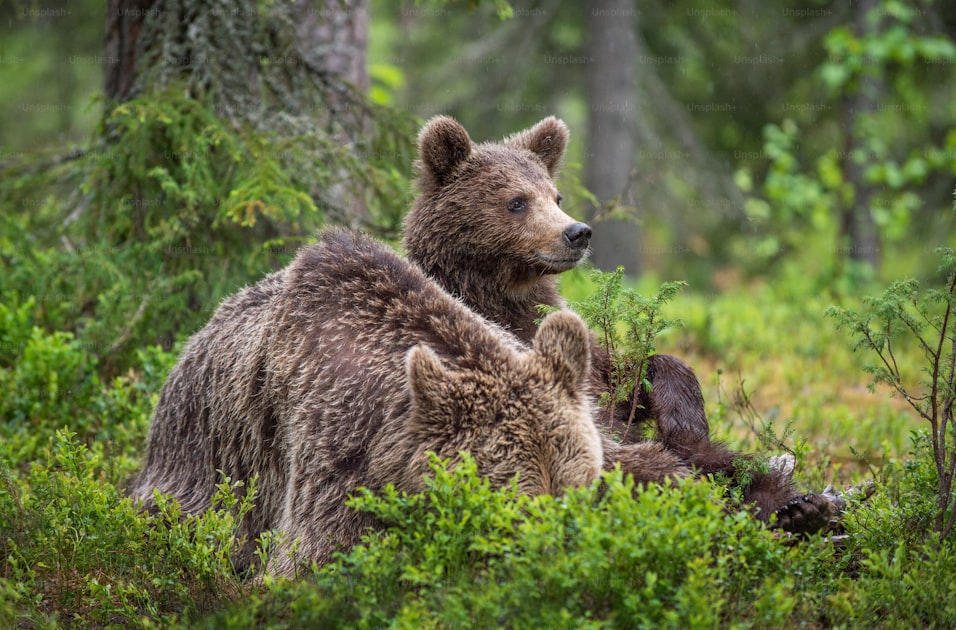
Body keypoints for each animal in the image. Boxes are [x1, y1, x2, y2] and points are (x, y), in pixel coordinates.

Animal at [128, 229, 687, 576]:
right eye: (512, 505)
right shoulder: (333, 452)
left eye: (577, 494)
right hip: (199, 467)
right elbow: (310, 559)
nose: (556, 560)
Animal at [401, 115, 842, 534]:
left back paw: (802, 508)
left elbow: (631, 376)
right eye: (516, 201)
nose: (577, 232)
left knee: (739, 465)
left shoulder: (567, 336)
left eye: (556, 195)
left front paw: (681, 414)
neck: (503, 292)